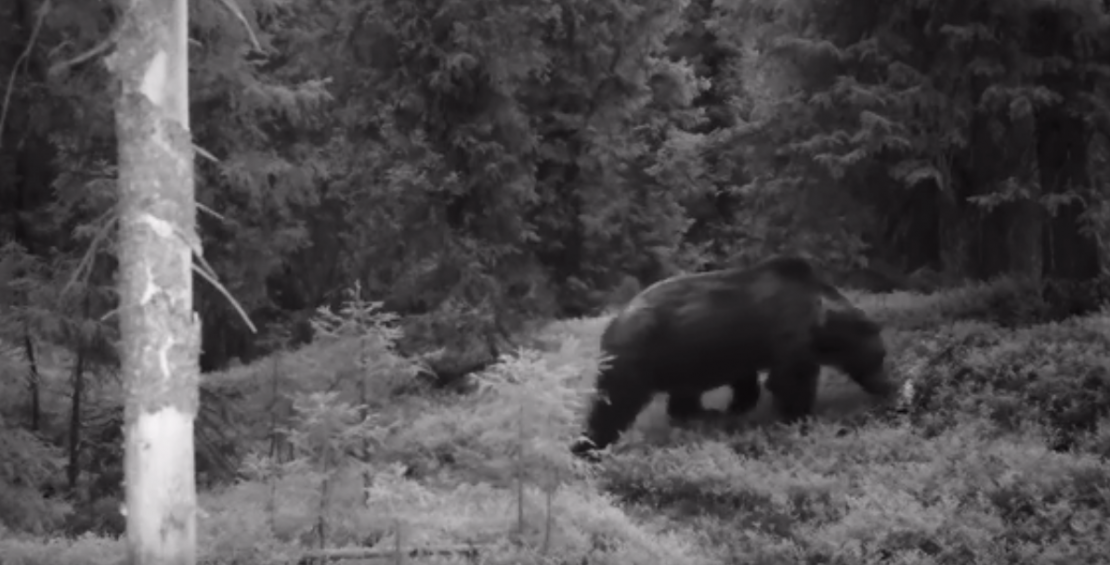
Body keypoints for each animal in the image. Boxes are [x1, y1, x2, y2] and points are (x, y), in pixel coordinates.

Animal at [570, 255, 897, 459]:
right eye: (879, 355)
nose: (889, 385)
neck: (821, 323)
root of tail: (613, 323)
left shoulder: (748, 348)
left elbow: (748, 382)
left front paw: (738, 408)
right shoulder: (788, 335)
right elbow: (791, 380)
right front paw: (800, 417)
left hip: (681, 359)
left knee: (682, 396)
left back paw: (701, 413)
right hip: (640, 354)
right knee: (614, 403)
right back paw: (587, 446)